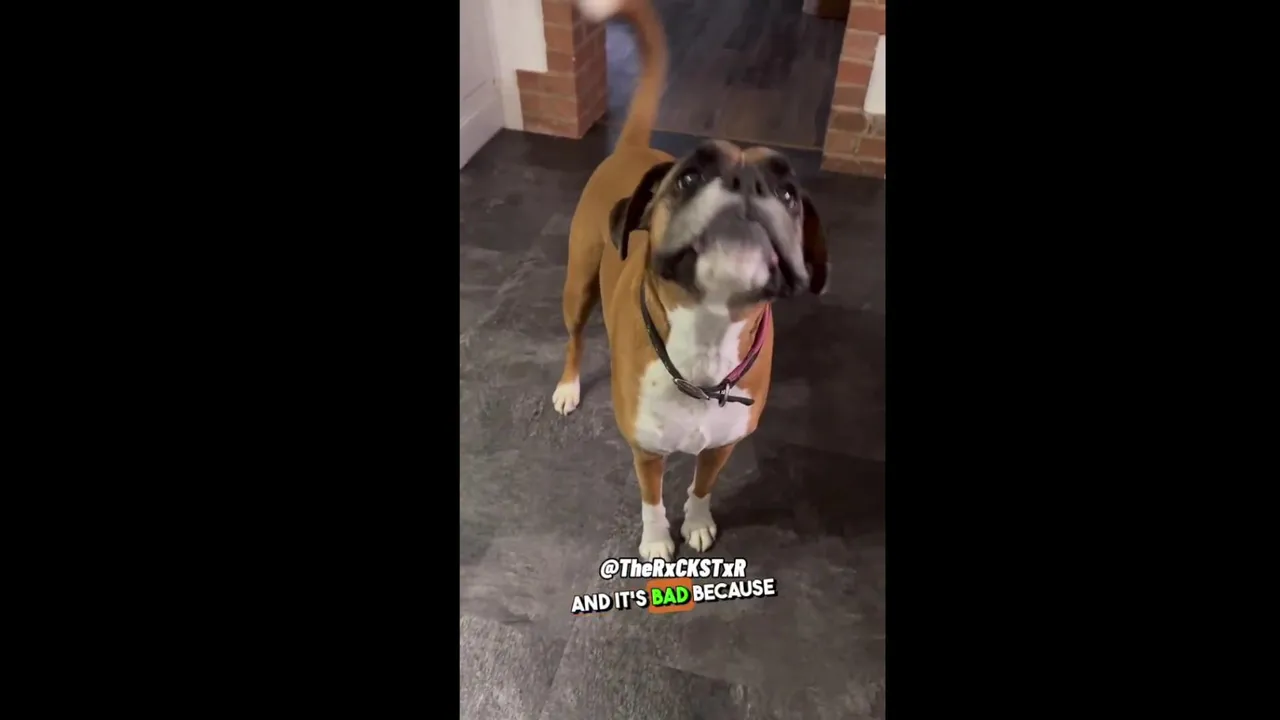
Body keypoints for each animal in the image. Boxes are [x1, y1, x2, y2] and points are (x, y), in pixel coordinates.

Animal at [555, 0, 829, 561]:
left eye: (789, 193)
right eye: (689, 178)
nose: (749, 181)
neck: (706, 336)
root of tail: (633, 149)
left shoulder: (722, 444)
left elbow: (702, 487)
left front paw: (699, 522)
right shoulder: (646, 452)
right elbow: (652, 501)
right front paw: (658, 541)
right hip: (578, 287)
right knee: (574, 338)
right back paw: (568, 387)